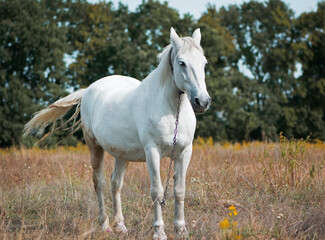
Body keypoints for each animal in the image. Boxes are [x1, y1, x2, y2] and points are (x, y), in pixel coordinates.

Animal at [23, 27, 210, 238]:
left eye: (204, 63)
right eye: (181, 63)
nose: (202, 102)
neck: (171, 110)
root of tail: (88, 90)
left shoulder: (184, 152)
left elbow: (179, 190)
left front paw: (181, 230)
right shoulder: (152, 152)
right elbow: (157, 191)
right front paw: (159, 232)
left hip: (122, 155)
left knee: (116, 184)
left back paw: (120, 225)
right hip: (94, 146)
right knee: (100, 183)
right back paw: (105, 224)